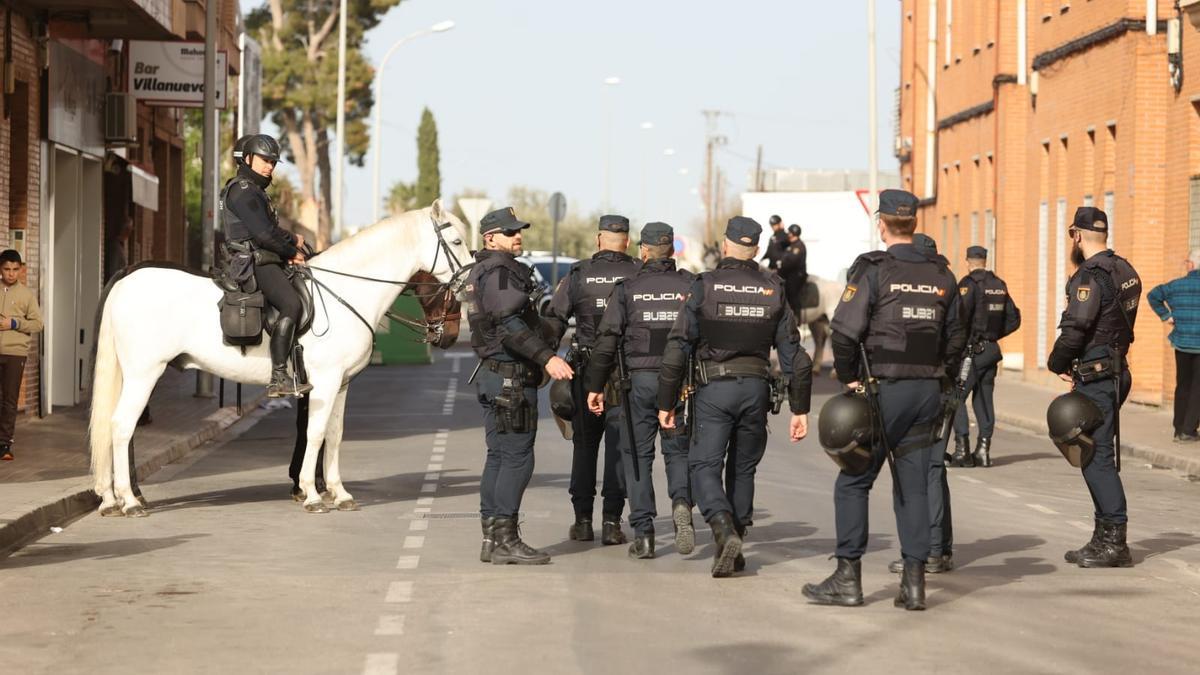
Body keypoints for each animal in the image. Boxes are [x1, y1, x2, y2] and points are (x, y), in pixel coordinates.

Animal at [87, 199, 470, 514]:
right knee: (121, 426)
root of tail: (127, 278)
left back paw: (112, 498)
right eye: (456, 242)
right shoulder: (324, 384)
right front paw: (312, 493)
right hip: (144, 373)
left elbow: (335, 435)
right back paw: (129, 500)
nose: (468, 284)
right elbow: (315, 434)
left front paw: (339, 492)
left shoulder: (341, 385)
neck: (345, 292)